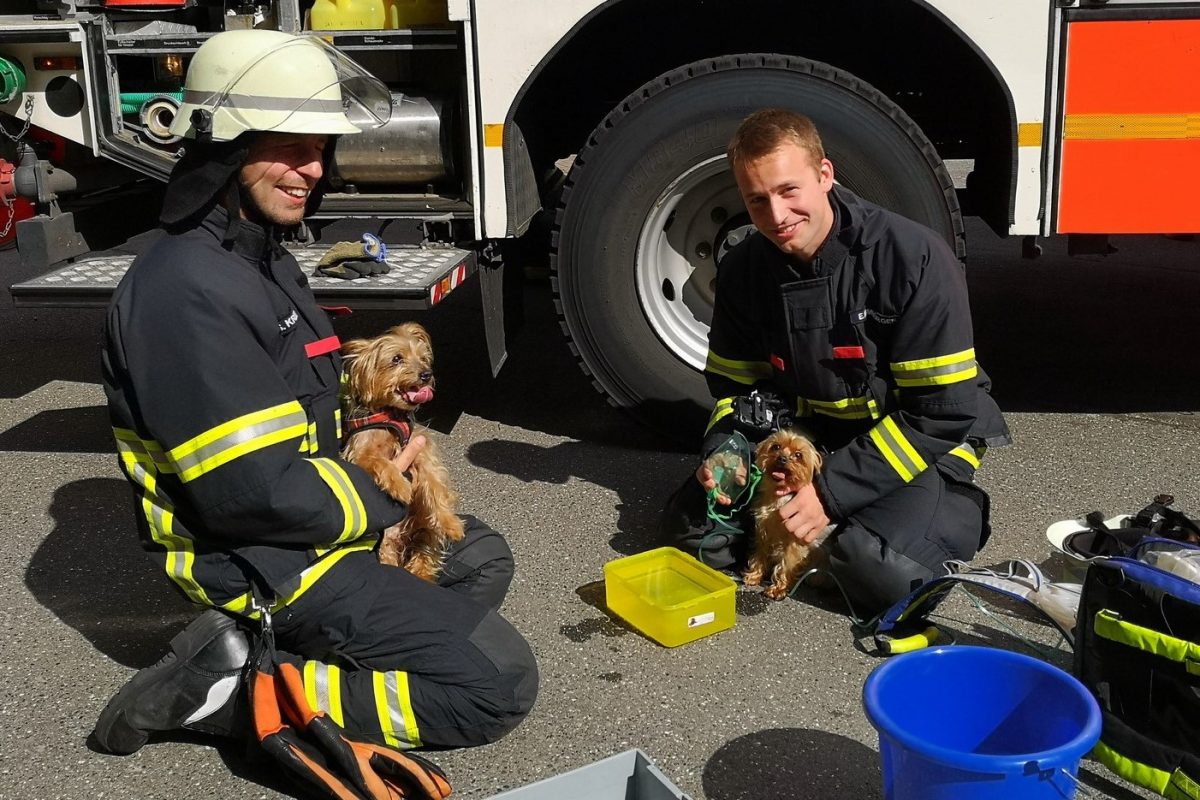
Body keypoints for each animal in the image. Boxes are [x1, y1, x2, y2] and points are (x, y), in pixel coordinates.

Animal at [343, 321, 463, 582]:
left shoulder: (423, 450)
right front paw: (400, 486)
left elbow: (436, 486)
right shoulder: (361, 452)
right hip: (385, 549)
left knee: (425, 549)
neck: (390, 414)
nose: (426, 374)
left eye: (423, 358)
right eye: (396, 358)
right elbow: (381, 463)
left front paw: (451, 523)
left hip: (424, 530)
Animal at [744, 429, 830, 597]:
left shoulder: (795, 539)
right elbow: (760, 553)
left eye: (798, 455)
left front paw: (778, 589)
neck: (778, 498)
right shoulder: (764, 531)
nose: (782, 458)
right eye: (776, 446)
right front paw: (754, 575)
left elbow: (786, 564)